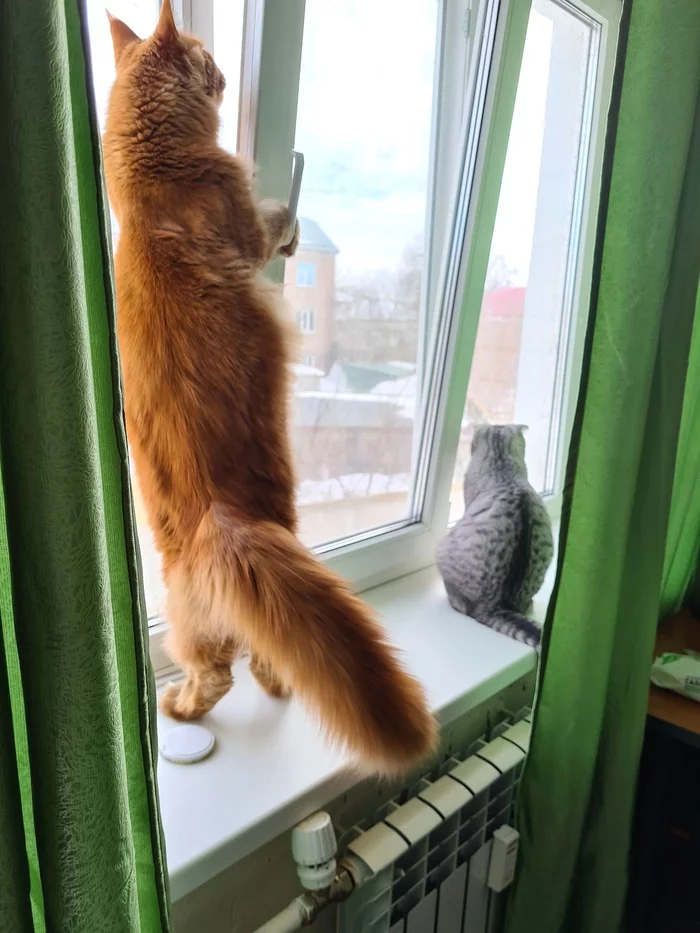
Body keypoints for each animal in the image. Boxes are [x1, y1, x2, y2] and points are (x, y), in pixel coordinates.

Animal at [103, 0, 434, 772]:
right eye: (204, 55)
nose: (222, 70)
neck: (148, 181)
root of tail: (224, 523)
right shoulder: (246, 232)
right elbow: (273, 223)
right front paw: (291, 220)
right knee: (231, 674)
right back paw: (207, 700)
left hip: (193, 619)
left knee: (237, 663)